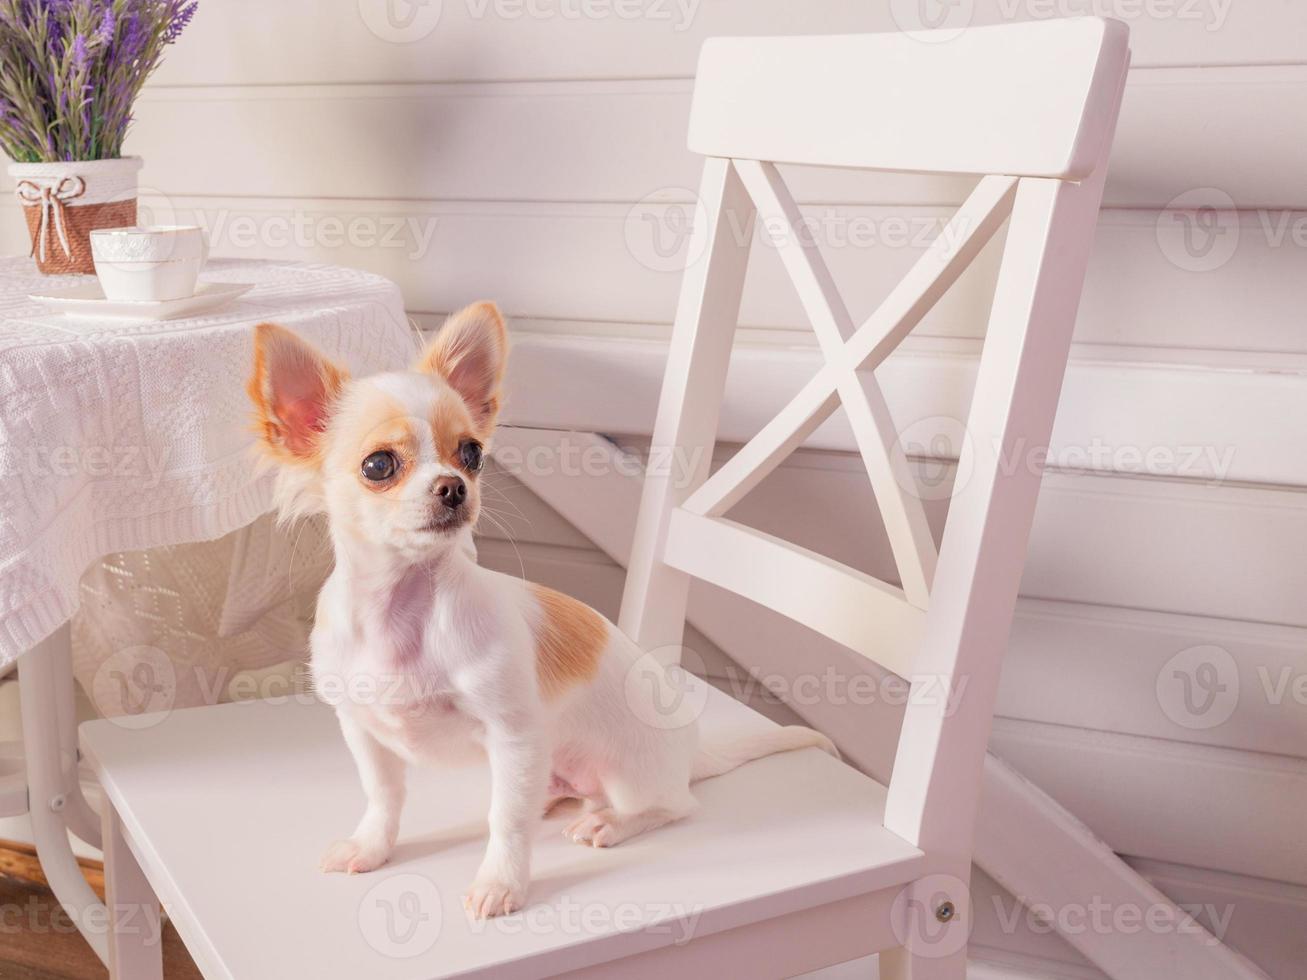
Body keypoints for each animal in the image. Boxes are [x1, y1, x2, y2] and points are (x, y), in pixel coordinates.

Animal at [249, 301, 831, 919]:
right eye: (379, 465)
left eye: (472, 454)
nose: (453, 487)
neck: (403, 613)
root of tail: (695, 752)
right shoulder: (363, 728)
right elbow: (384, 795)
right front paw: (371, 847)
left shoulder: (514, 734)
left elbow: (505, 823)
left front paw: (501, 884)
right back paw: (553, 801)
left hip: (627, 775)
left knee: (673, 806)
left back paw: (610, 823)